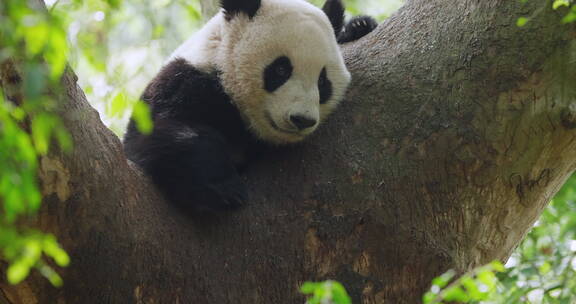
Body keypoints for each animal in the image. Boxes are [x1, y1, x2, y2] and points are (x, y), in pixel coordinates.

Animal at [124, 0, 378, 213]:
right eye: (281, 70)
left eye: (323, 82)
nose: (302, 119)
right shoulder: (181, 84)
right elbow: (159, 136)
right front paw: (221, 187)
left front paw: (359, 26)